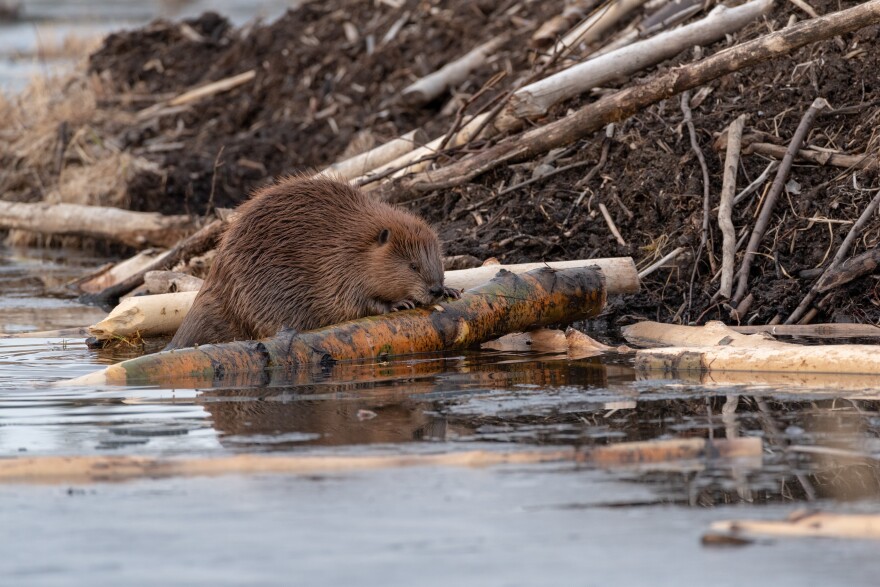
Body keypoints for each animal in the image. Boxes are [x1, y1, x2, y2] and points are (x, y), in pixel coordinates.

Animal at [167, 175, 460, 350]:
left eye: (438, 261)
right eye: (413, 265)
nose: (434, 289)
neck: (357, 243)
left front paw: (452, 290)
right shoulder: (339, 266)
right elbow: (353, 302)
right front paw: (399, 303)